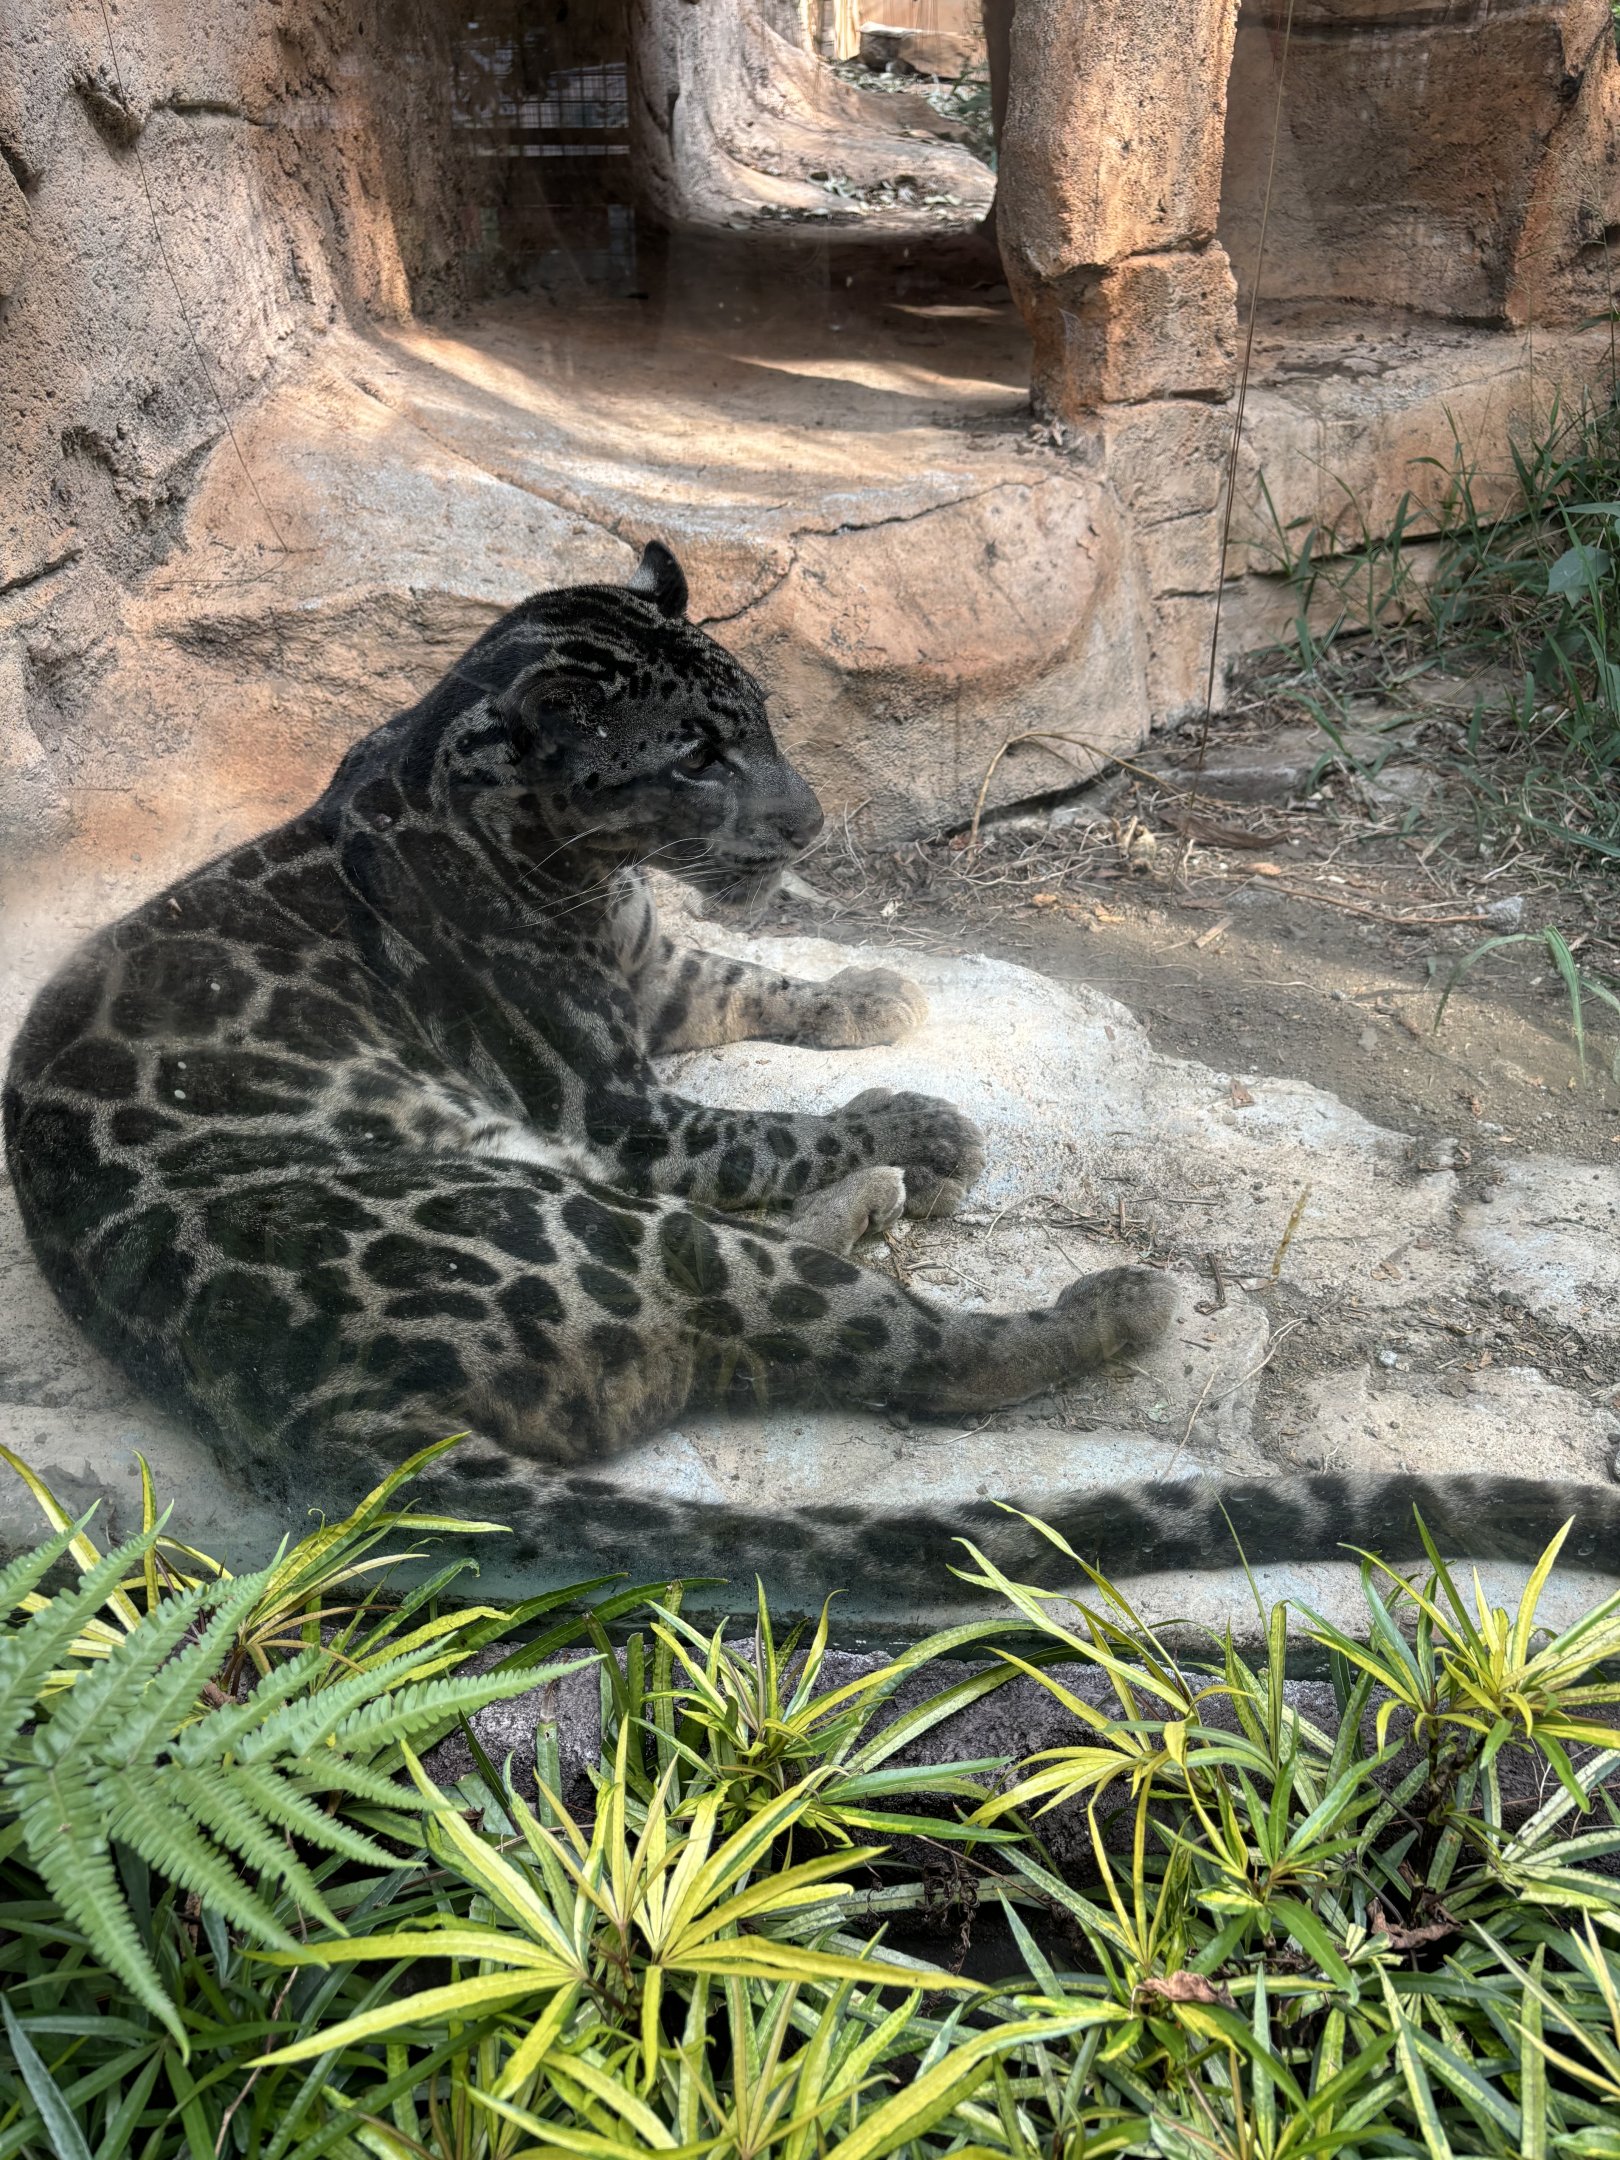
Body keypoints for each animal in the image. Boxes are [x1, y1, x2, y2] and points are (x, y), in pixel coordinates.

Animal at [6, 542, 1612, 1593]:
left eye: (766, 722)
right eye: (691, 758)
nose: (807, 817)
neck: (552, 858)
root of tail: (325, 1420)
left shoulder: (655, 979)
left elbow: (749, 980)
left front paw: (874, 991)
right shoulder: (620, 1113)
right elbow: (777, 1127)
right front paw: (922, 1114)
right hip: (614, 1223)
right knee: (919, 1352)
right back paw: (1104, 1295)